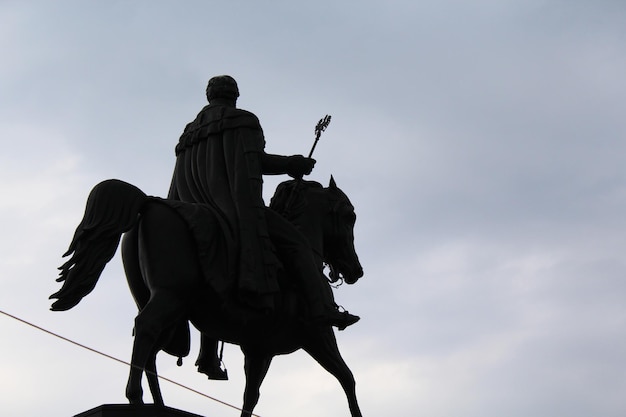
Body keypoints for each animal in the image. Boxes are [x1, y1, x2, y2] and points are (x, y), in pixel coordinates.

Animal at [51, 176, 364, 416]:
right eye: (350, 216)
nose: (355, 270)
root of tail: (149, 202)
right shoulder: (318, 335)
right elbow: (347, 378)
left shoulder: (259, 349)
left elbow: (250, 396)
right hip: (170, 298)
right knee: (145, 328)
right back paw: (136, 397)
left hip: (165, 309)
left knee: (147, 345)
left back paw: (159, 403)